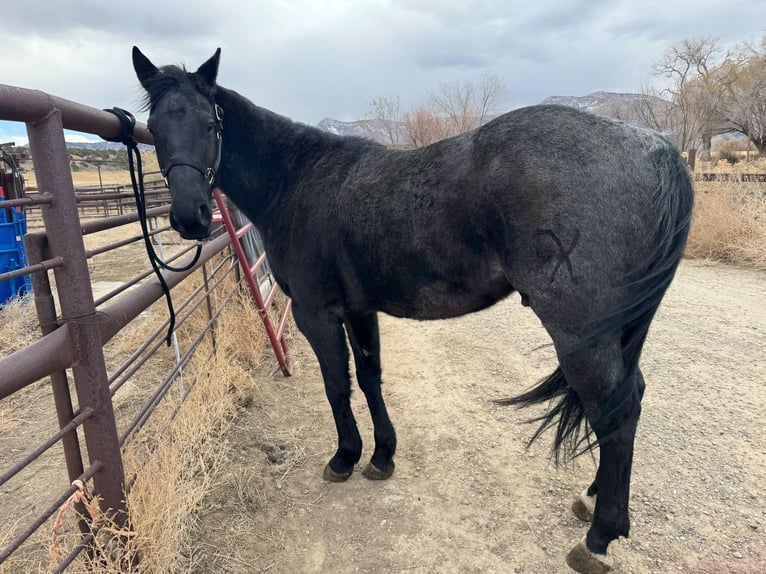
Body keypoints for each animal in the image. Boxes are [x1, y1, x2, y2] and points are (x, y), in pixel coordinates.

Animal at [131, 47, 693, 573]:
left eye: (209, 124)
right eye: (155, 129)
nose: (189, 217)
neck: (297, 180)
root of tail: (656, 147)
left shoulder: (317, 314)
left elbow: (336, 385)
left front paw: (344, 457)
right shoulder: (359, 311)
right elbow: (369, 378)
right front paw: (382, 455)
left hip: (581, 334)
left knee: (618, 410)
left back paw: (599, 538)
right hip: (614, 331)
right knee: (624, 399)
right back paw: (593, 498)